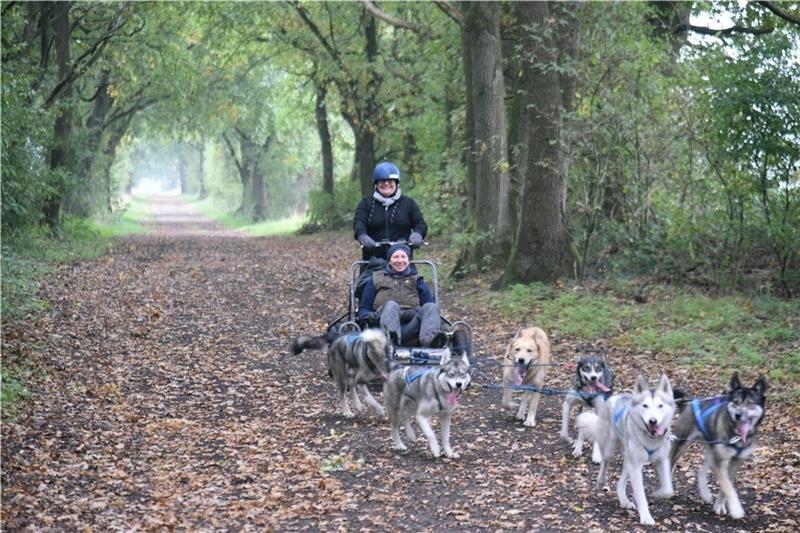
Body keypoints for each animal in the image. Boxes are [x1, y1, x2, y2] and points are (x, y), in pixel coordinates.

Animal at [580, 374, 680, 524]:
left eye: (660, 406)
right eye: (645, 406)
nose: (653, 421)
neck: (650, 439)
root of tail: (616, 397)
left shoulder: (662, 461)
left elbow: (668, 489)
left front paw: (658, 493)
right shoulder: (636, 466)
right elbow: (640, 494)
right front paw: (646, 517)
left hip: (628, 460)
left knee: (620, 484)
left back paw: (624, 501)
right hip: (611, 449)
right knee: (605, 462)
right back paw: (601, 481)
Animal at [668, 372, 768, 516]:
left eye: (750, 404)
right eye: (735, 402)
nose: (738, 415)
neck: (735, 435)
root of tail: (689, 403)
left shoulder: (735, 462)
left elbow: (727, 485)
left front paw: (720, 504)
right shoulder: (720, 461)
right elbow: (727, 485)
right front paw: (735, 508)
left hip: (711, 450)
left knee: (700, 470)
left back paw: (705, 493)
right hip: (682, 444)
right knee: (670, 464)